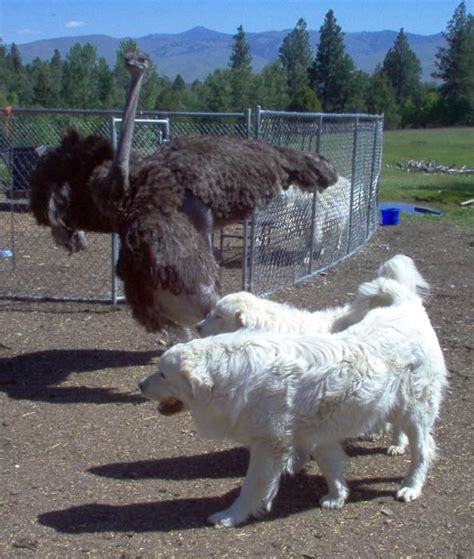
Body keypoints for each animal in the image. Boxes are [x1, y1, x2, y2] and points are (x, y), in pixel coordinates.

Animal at [140, 280, 448, 528]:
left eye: (163, 374)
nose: (140, 386)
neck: (233, 374)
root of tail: (407, 304)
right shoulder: (317, 435)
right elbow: (332, 466)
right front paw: (337, 496)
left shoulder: (268, 446)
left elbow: (251, 487)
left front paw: (231, 516)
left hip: (416, 412)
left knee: (423, 450)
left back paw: (411, 486)